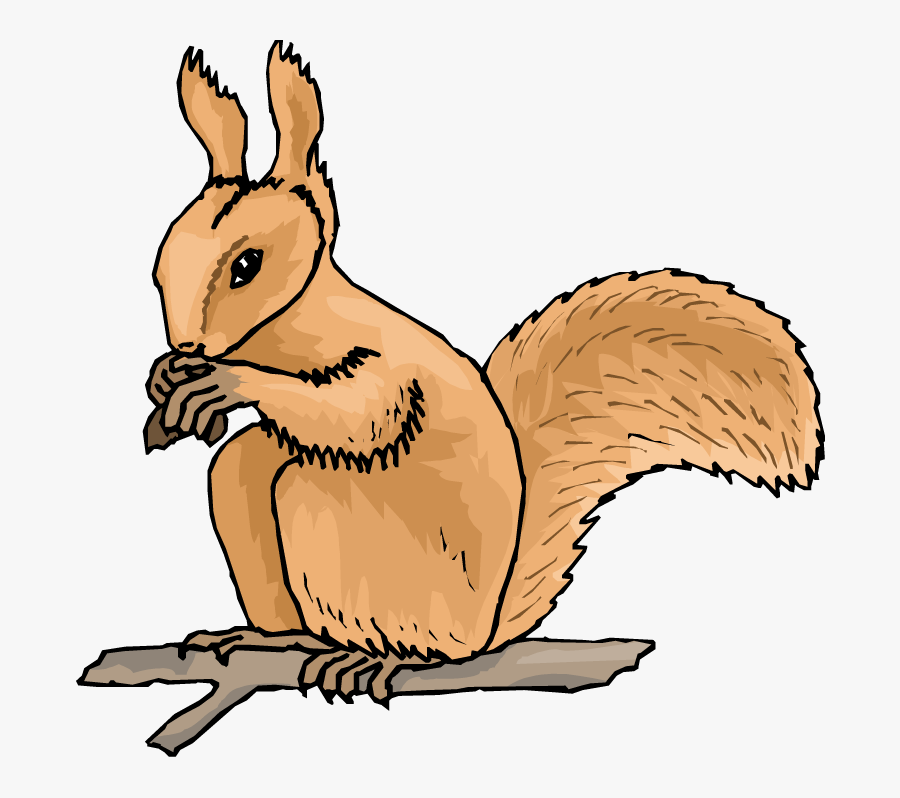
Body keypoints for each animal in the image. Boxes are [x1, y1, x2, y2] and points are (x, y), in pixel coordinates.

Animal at [145, 43, 823, 704]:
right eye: (160, 267)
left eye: (248, 265)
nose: (188, 345)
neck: (291, 334)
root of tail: (486, 628)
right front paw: (166, 378)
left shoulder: (389, 373)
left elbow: (356, 416)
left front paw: (226, 383)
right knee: (248, 470)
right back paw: (273, 639)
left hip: (339, 528)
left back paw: (373, 656)